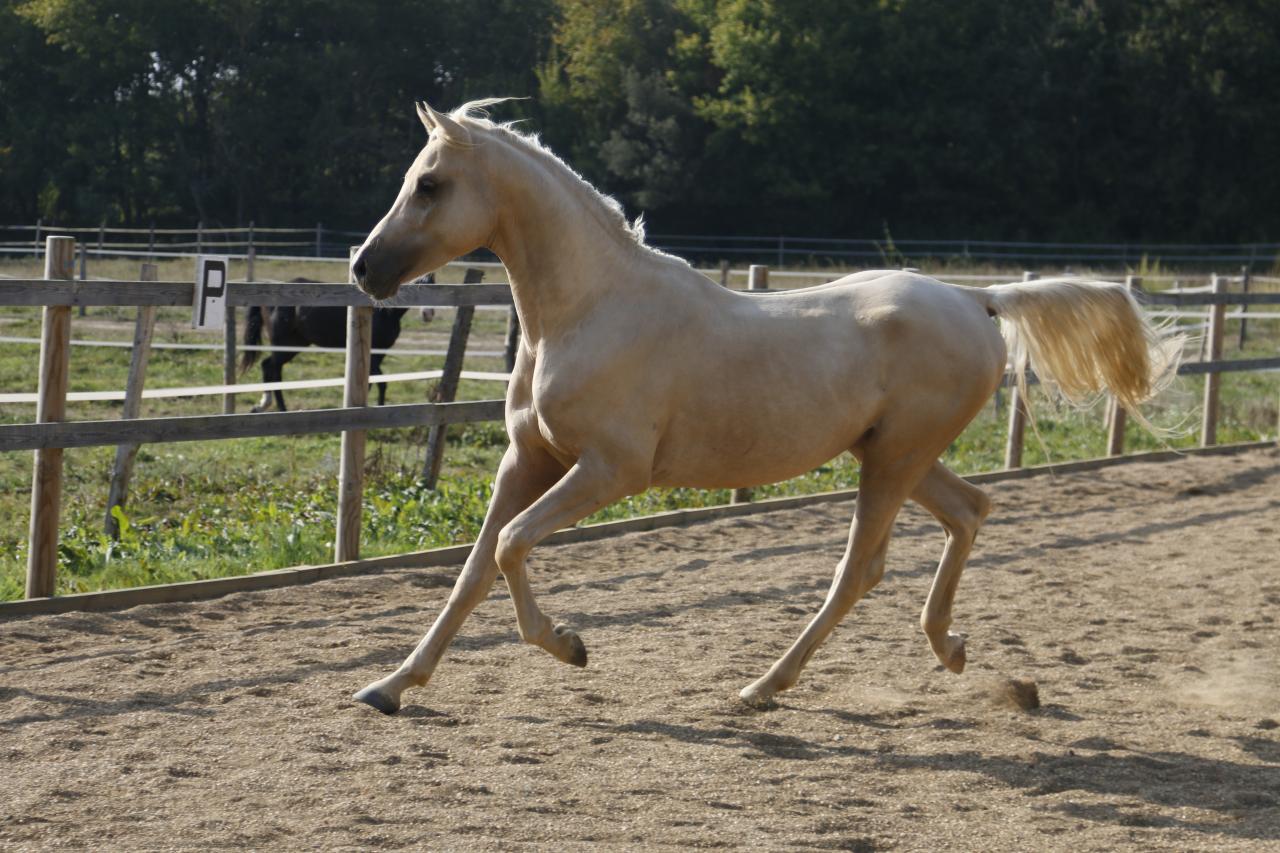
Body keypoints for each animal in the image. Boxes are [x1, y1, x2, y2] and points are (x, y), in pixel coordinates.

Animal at [240, 275, 435, 412]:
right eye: (418, 283)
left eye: (433, 282)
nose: (428, 314)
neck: (384, 312)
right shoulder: (373, 355)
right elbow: (379, 382)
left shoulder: (378, 355)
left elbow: (375, 382)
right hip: (284, 346)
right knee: (271, 368)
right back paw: (278, 408)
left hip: (294, 345)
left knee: (269, 367)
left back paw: (263, 406)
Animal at [345, 99, 1172, 712]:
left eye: (429, 184)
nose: (363, 268)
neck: (591, 310)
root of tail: (979, 299)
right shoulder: (529, 459)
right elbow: (475, 568)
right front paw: (389, 686)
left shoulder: (611, 470)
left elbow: (512, 546)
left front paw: (570, 644)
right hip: (894, 452)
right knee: (970, 511)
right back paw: (956, 651)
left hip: (895, 457)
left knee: (859, 569)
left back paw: (763, 685)